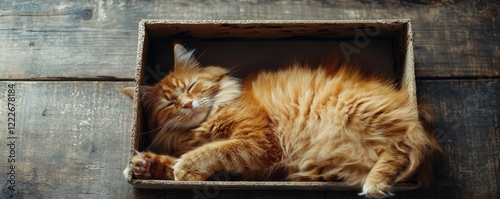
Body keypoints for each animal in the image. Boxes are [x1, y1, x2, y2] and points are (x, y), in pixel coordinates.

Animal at [123, 43, 444, 197]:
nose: (188, 105)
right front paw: (144, 165)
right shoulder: (242, 167)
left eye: (190, 88)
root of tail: (411, 108)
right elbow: (180, 161)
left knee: (401, 151)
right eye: (170, 103)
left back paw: (376, 184)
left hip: (357, 113)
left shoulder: (259, 142)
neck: (204, 124)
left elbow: (213, 151)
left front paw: (185, 165)